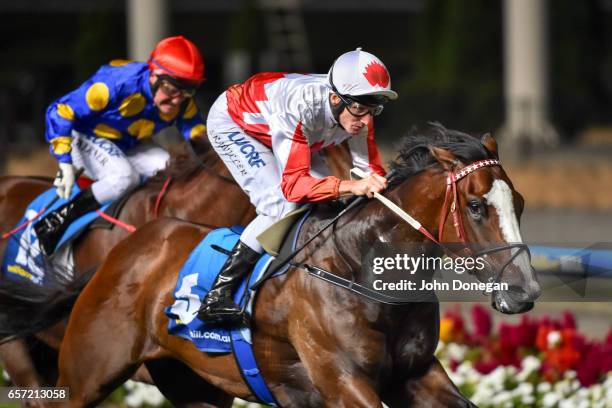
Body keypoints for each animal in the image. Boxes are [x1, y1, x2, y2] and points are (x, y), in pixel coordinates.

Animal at [50, 126, 540, 406]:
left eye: (519, 202)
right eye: (476, 206)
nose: (525, 292)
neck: (355, 268)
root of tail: (126, 249)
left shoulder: (417, 373)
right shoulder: (342, 381)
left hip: (194, 386)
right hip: (87, 374)